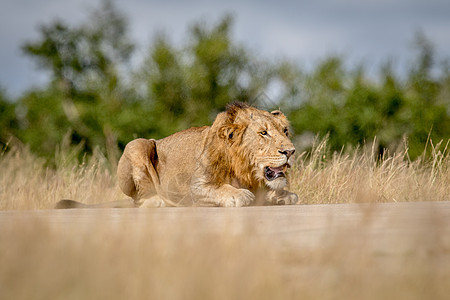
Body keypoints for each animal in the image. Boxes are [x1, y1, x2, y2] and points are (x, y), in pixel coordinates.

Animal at [56, 101, 300, 209]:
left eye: (285, 131)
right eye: (263, 133)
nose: (290, 151)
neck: (245, 172)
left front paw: (282, 195)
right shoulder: (196, 187)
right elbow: (219, 189)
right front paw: (239, 195)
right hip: (138, 144)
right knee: (138, 199)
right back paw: (156, 201)